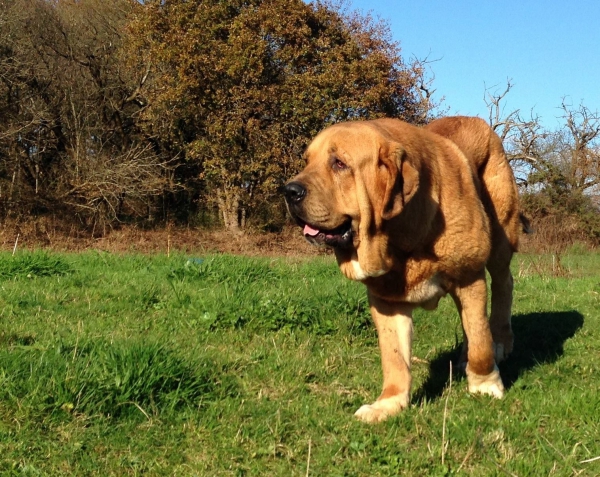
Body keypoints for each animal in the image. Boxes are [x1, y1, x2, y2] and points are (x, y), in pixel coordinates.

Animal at [284, 117, 524, 422]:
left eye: (339, 163)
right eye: (307, 161)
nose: (289, 191)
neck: (400, 239)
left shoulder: (469, 277)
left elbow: (481, 340)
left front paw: (485, 386)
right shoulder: (386, 302)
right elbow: (394, 357)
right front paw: (388, 404)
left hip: (501, 239)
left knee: (503, 287)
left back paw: (501, 341)